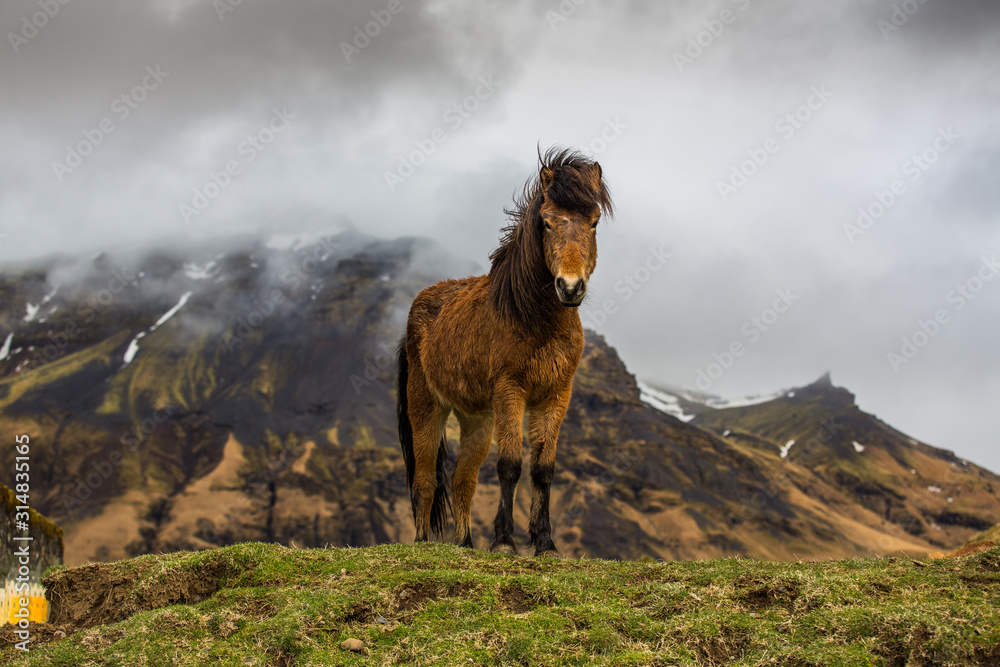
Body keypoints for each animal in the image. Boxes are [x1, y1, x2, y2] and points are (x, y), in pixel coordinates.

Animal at [394, 147, 612, 560]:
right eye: (546, 223)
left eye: (593, 223)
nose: (570, 286)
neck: (531, 316)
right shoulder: (511, 390)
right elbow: (510, 465)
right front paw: (504, 541)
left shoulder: (555, 395)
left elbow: (543, 469)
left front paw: (545, 543)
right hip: (427, 406)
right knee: (425, 480)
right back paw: (423, 544)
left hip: (476, 418)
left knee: (462, 479)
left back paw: (464, 544)